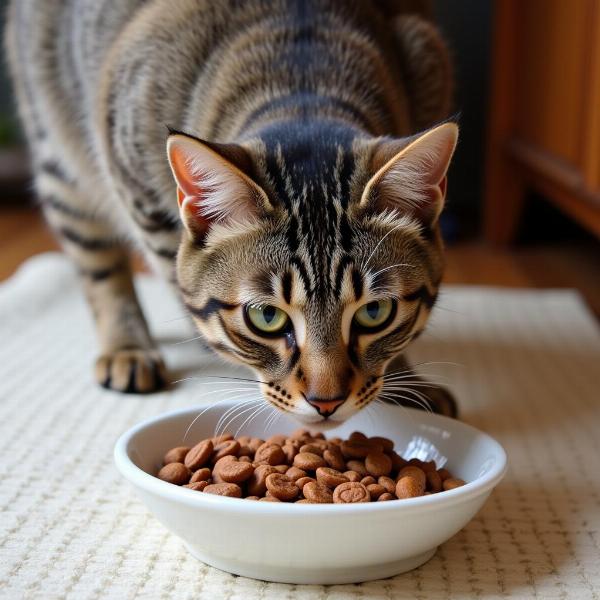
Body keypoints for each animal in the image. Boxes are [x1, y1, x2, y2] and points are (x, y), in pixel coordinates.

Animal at [4, 0, 458, 424]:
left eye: (375, 312)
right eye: (266, 316)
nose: (326, 403)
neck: (302, 86)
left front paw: (406, 383)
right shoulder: (135, 184)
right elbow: (179, 286)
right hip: (61, 160)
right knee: (96, 261)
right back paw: (127, 348)